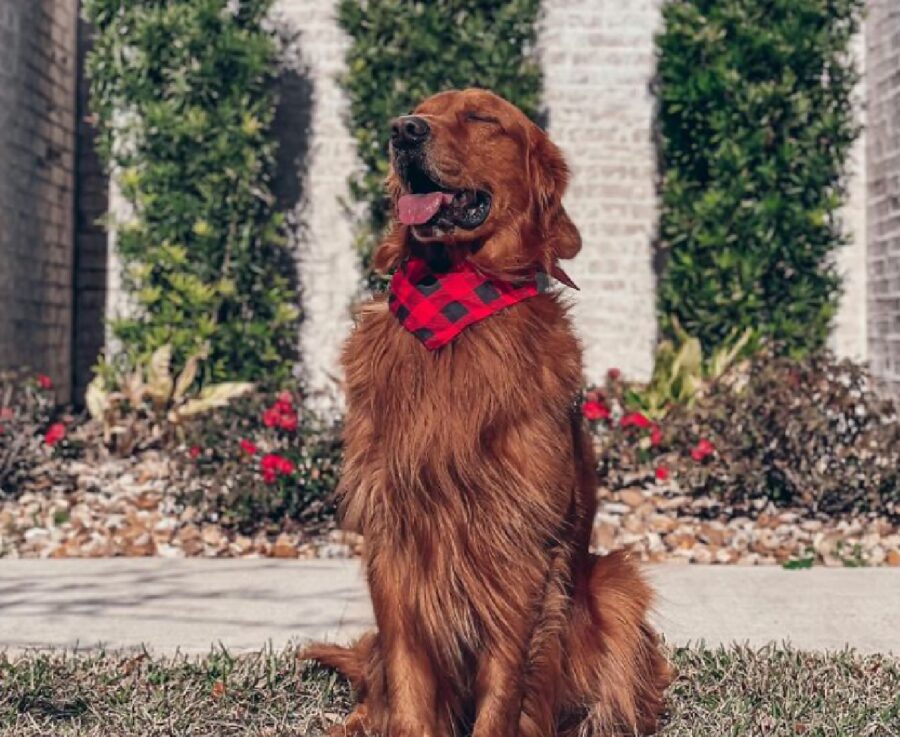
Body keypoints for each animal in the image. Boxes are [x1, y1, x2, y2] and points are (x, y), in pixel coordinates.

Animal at [306, 87, 672, 736]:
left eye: (482, 118)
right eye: (420, 110)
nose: (404, 130)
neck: (454, 300)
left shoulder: (518, 543)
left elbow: (504, 686)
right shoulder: (394, 538)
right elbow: (407, 682)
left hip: (616, 586)